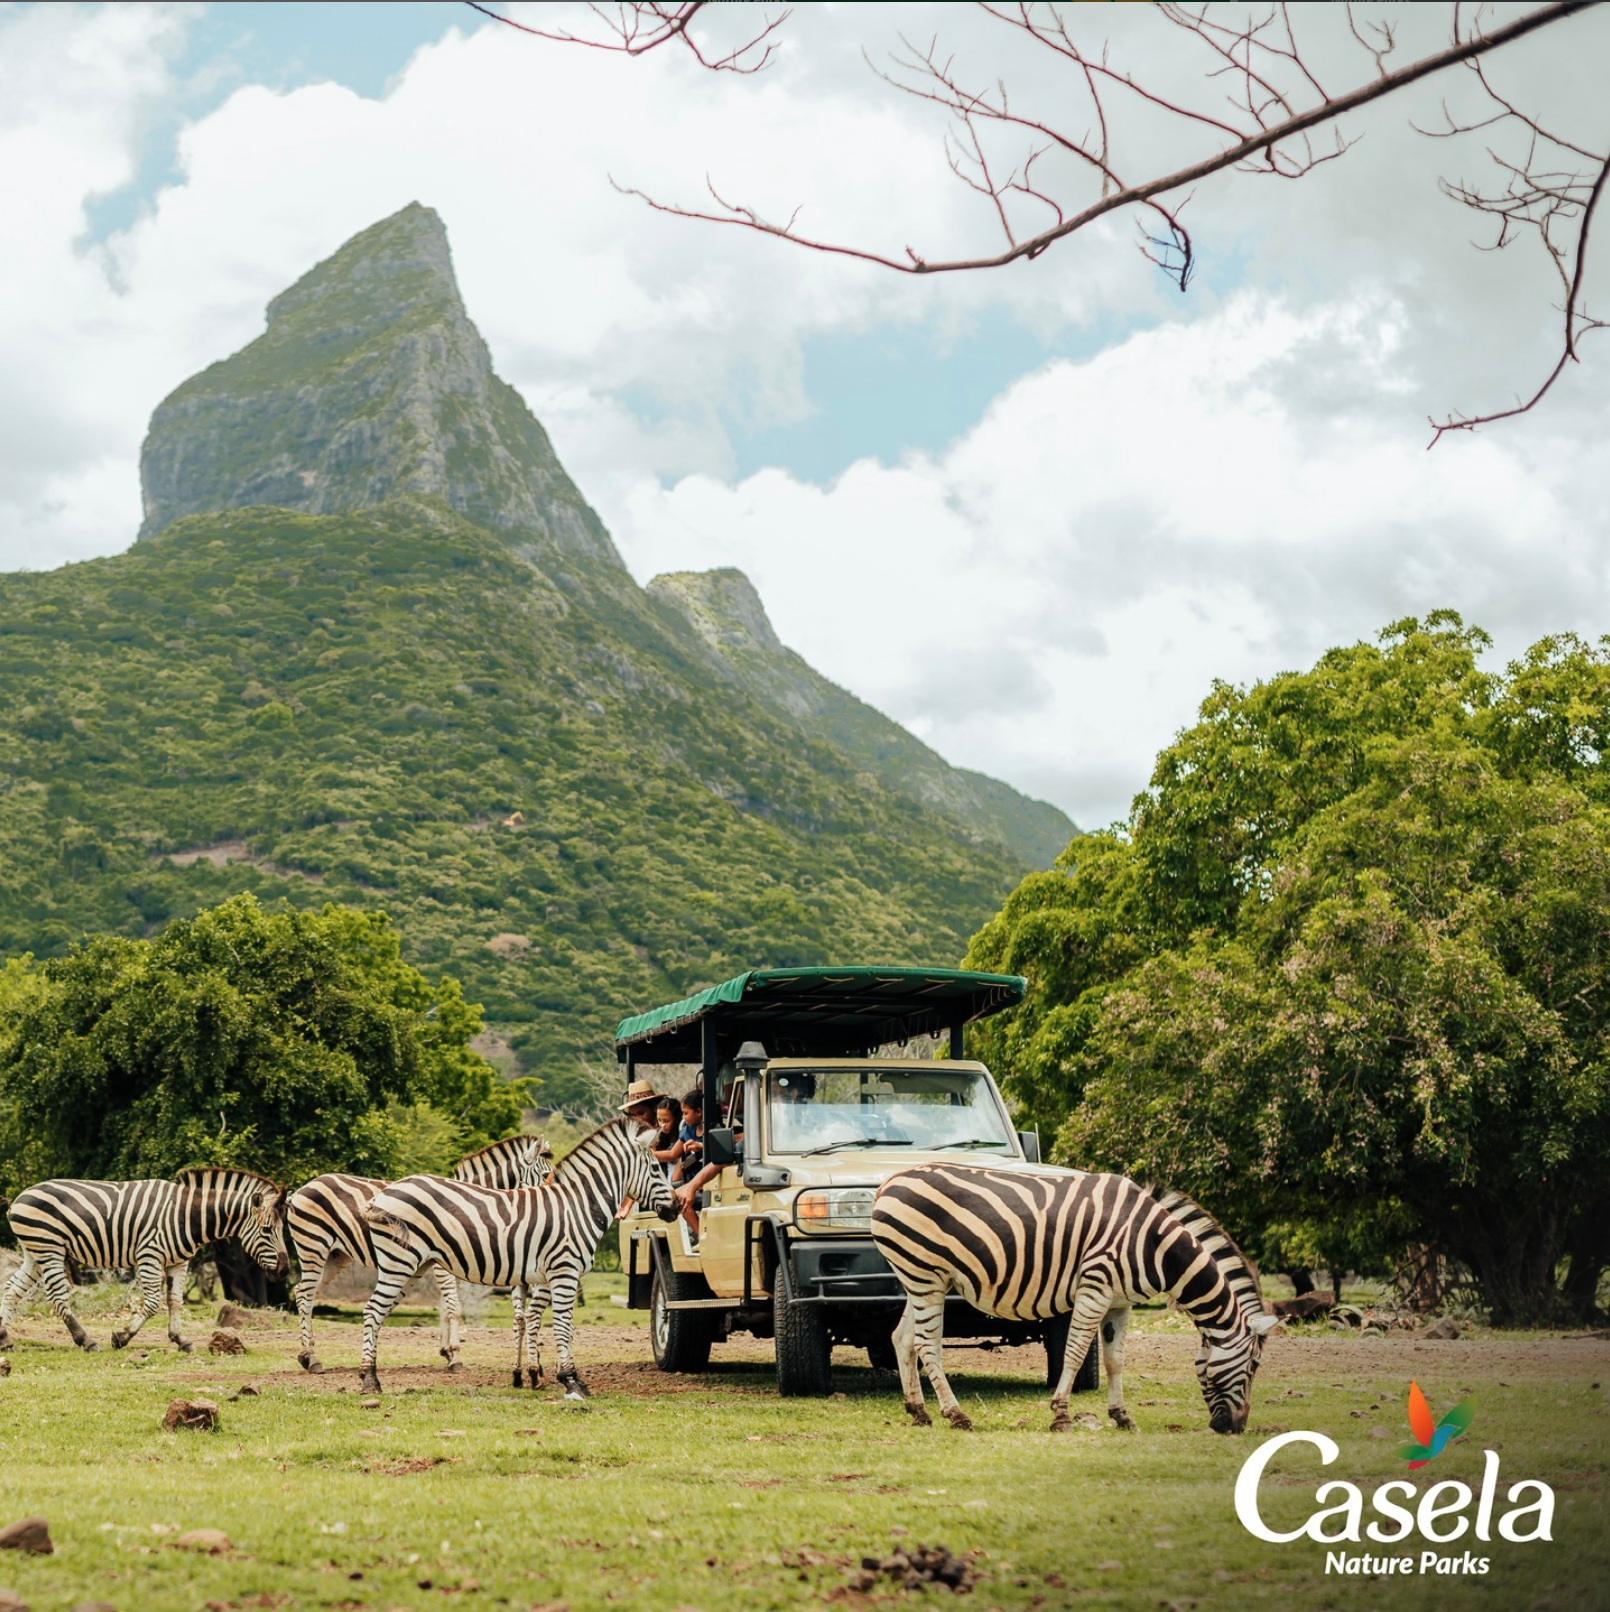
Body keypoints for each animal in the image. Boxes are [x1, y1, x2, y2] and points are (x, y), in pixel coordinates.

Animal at [0, 1167, 286, 1354]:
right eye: (267, 1231)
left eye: (282, 1229)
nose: (284, 1270)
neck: (187, 1215)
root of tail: (20, 1197)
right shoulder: (150, 1254)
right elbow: (152, 1304)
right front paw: (121, 1338)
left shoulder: (179, 1261)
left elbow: (175, 1301)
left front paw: (181, 1339)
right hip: (49, 1249)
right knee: (58, 1297)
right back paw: (87, 1341)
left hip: (34, 1252)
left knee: (12, 1290)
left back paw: (4, 1338)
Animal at [293, 1134, 557, 1373]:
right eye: (545, 1176)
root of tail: (306, 1185)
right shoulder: (443, 1265)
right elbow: (453, 1307)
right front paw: (456, 1356)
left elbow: (444, 1307)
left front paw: (447, 1351)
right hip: (313, 1247)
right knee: (305, 1295)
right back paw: (313, 1359)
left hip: (336, 1255)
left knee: (303, 1293)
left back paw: (306, 1354)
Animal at [359, 1121, 673, 1399]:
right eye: (656, 1168)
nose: (676, 1207)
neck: (577, 1207)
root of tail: (383, 1194)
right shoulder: (564, 1272)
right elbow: (562, 1325)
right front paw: (570, 1381)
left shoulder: (545, 1276)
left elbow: (545, 1322)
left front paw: (548, 1375)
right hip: (399, 1263)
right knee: (373, 1311)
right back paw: (369, 1381)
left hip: (411, 1266)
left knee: (379, 1313)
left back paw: (371, 1375)